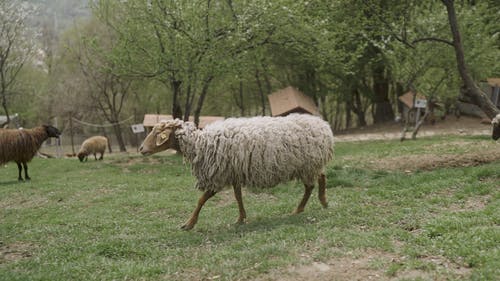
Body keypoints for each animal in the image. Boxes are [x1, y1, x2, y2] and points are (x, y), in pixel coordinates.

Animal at [140, 114, 336, 230]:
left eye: (157, 133)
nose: (141, 149)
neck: (200, 144)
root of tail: (323, 125)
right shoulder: (233, 173)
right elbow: (238, 196)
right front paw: (241, 218)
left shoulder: (218, 174)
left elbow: (201, 199)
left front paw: (189, 223)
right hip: (309, 164)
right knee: (320, 177)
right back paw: (315, 203)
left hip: (309, 163)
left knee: (312, 184)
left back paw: (310, 205)